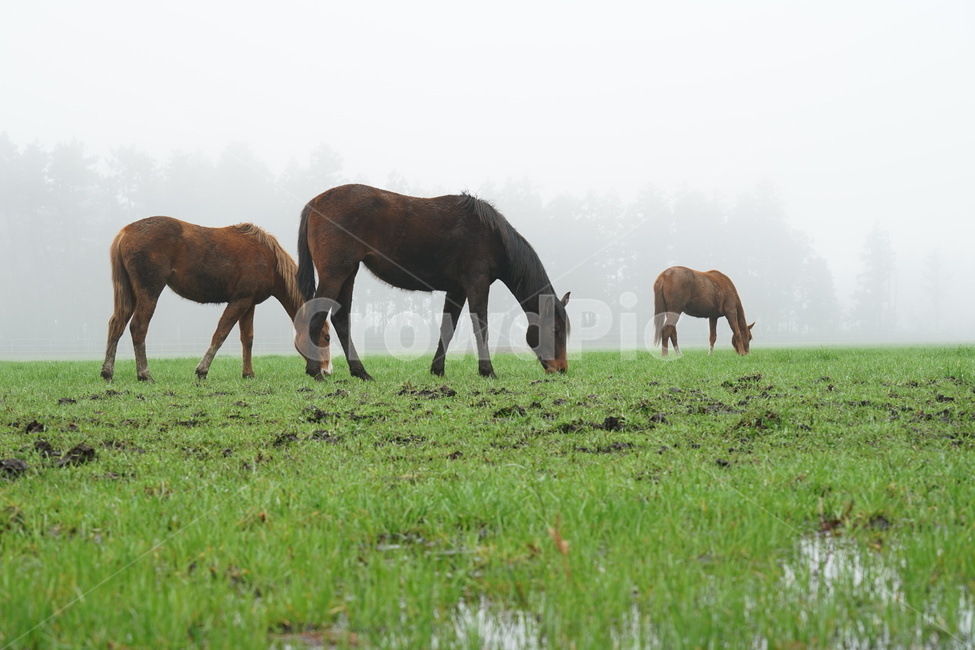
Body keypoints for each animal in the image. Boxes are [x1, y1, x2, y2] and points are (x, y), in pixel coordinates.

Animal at [100, 216, 331, 382]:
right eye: (327, 337)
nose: (326, 371)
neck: (269, 258)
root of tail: (126, 232)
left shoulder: (249, 303)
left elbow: (247, 338)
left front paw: (248, 374)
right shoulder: (239, 301)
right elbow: (221, 333)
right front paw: (202, 370)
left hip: (130, 294)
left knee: (117, 324)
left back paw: (107, 372)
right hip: (149, 292)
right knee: (138, 327)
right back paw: (144, 374)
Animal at [296, 184, 570, 380]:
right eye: (555, 330)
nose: (561, 369)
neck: (492, 235)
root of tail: (315, 202)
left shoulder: (457, 290)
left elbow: (447, 328)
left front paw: (437, 369)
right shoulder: (477, 283)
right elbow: (481, 326)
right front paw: (487, 371)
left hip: (348, 274)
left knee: (341, 320)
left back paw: (360, 372)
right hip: (335, 274)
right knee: (317, 316)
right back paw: (315, 371)